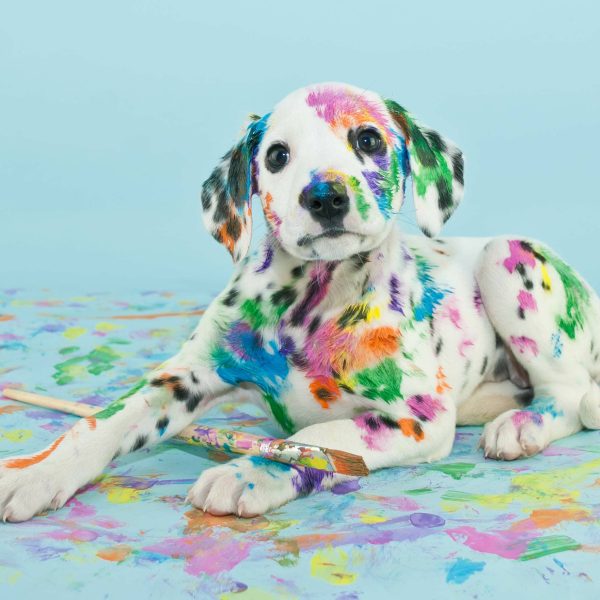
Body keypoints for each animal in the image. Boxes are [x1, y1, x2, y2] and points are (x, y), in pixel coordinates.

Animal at [1, 83, 600, 520]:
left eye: (369, 141)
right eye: (277, 155)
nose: (325, 197)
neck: (312, 303)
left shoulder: (417, 420)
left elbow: (319, 439)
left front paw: (248, 473)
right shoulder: (184, 378)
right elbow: (99, 425)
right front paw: (36, 472)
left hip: (506, 257)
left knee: (568, 395)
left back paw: (521, 426)